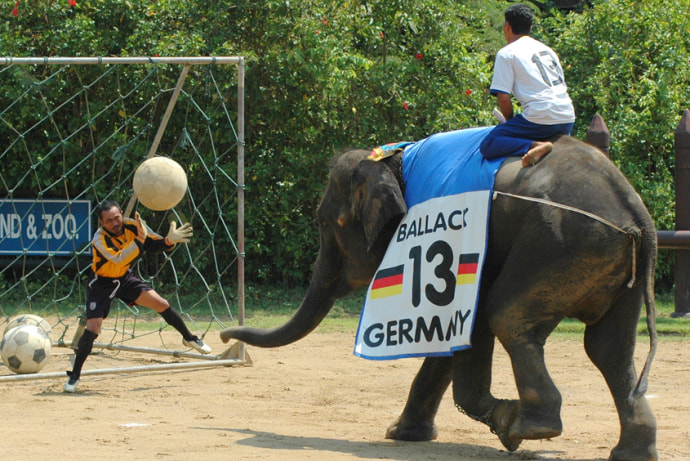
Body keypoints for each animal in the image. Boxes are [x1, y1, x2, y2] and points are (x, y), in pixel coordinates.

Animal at [221, 133, 658, 461]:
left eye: (327, 224)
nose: (224, 336)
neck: (391, 161)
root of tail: (635, 215)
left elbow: (471, 320)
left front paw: (504, 423)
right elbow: (451, 333)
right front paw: (402, 434)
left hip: (558, 245)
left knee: (509, 315)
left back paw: (530, 426)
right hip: (610, 266)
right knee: (609, 348)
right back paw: (631, 452)